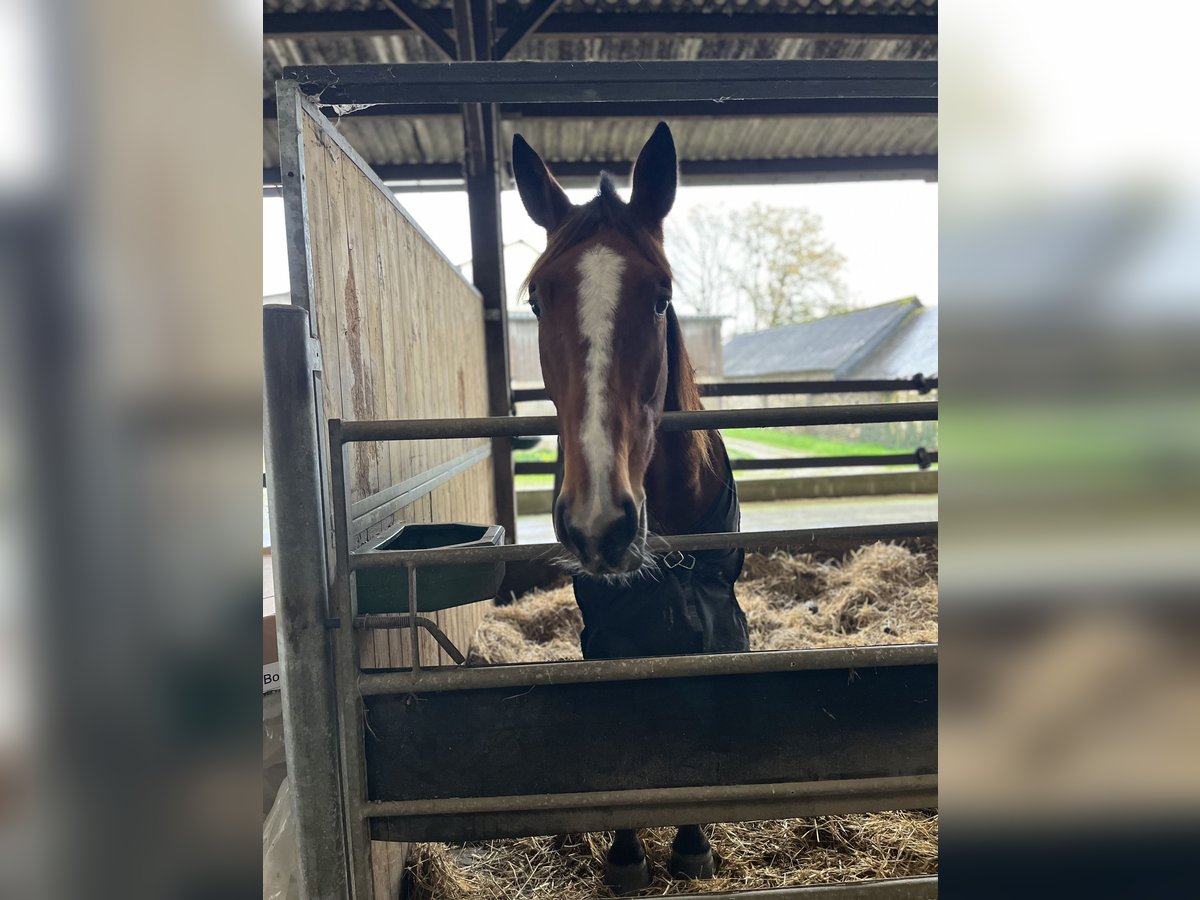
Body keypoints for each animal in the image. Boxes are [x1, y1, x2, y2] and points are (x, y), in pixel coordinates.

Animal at [513, 125, 748, 897]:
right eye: (536, 300)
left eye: (659, 295)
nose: (599, 522)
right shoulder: (609, 631)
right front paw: (624, 856)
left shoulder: (716, 619)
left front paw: (693, 843)